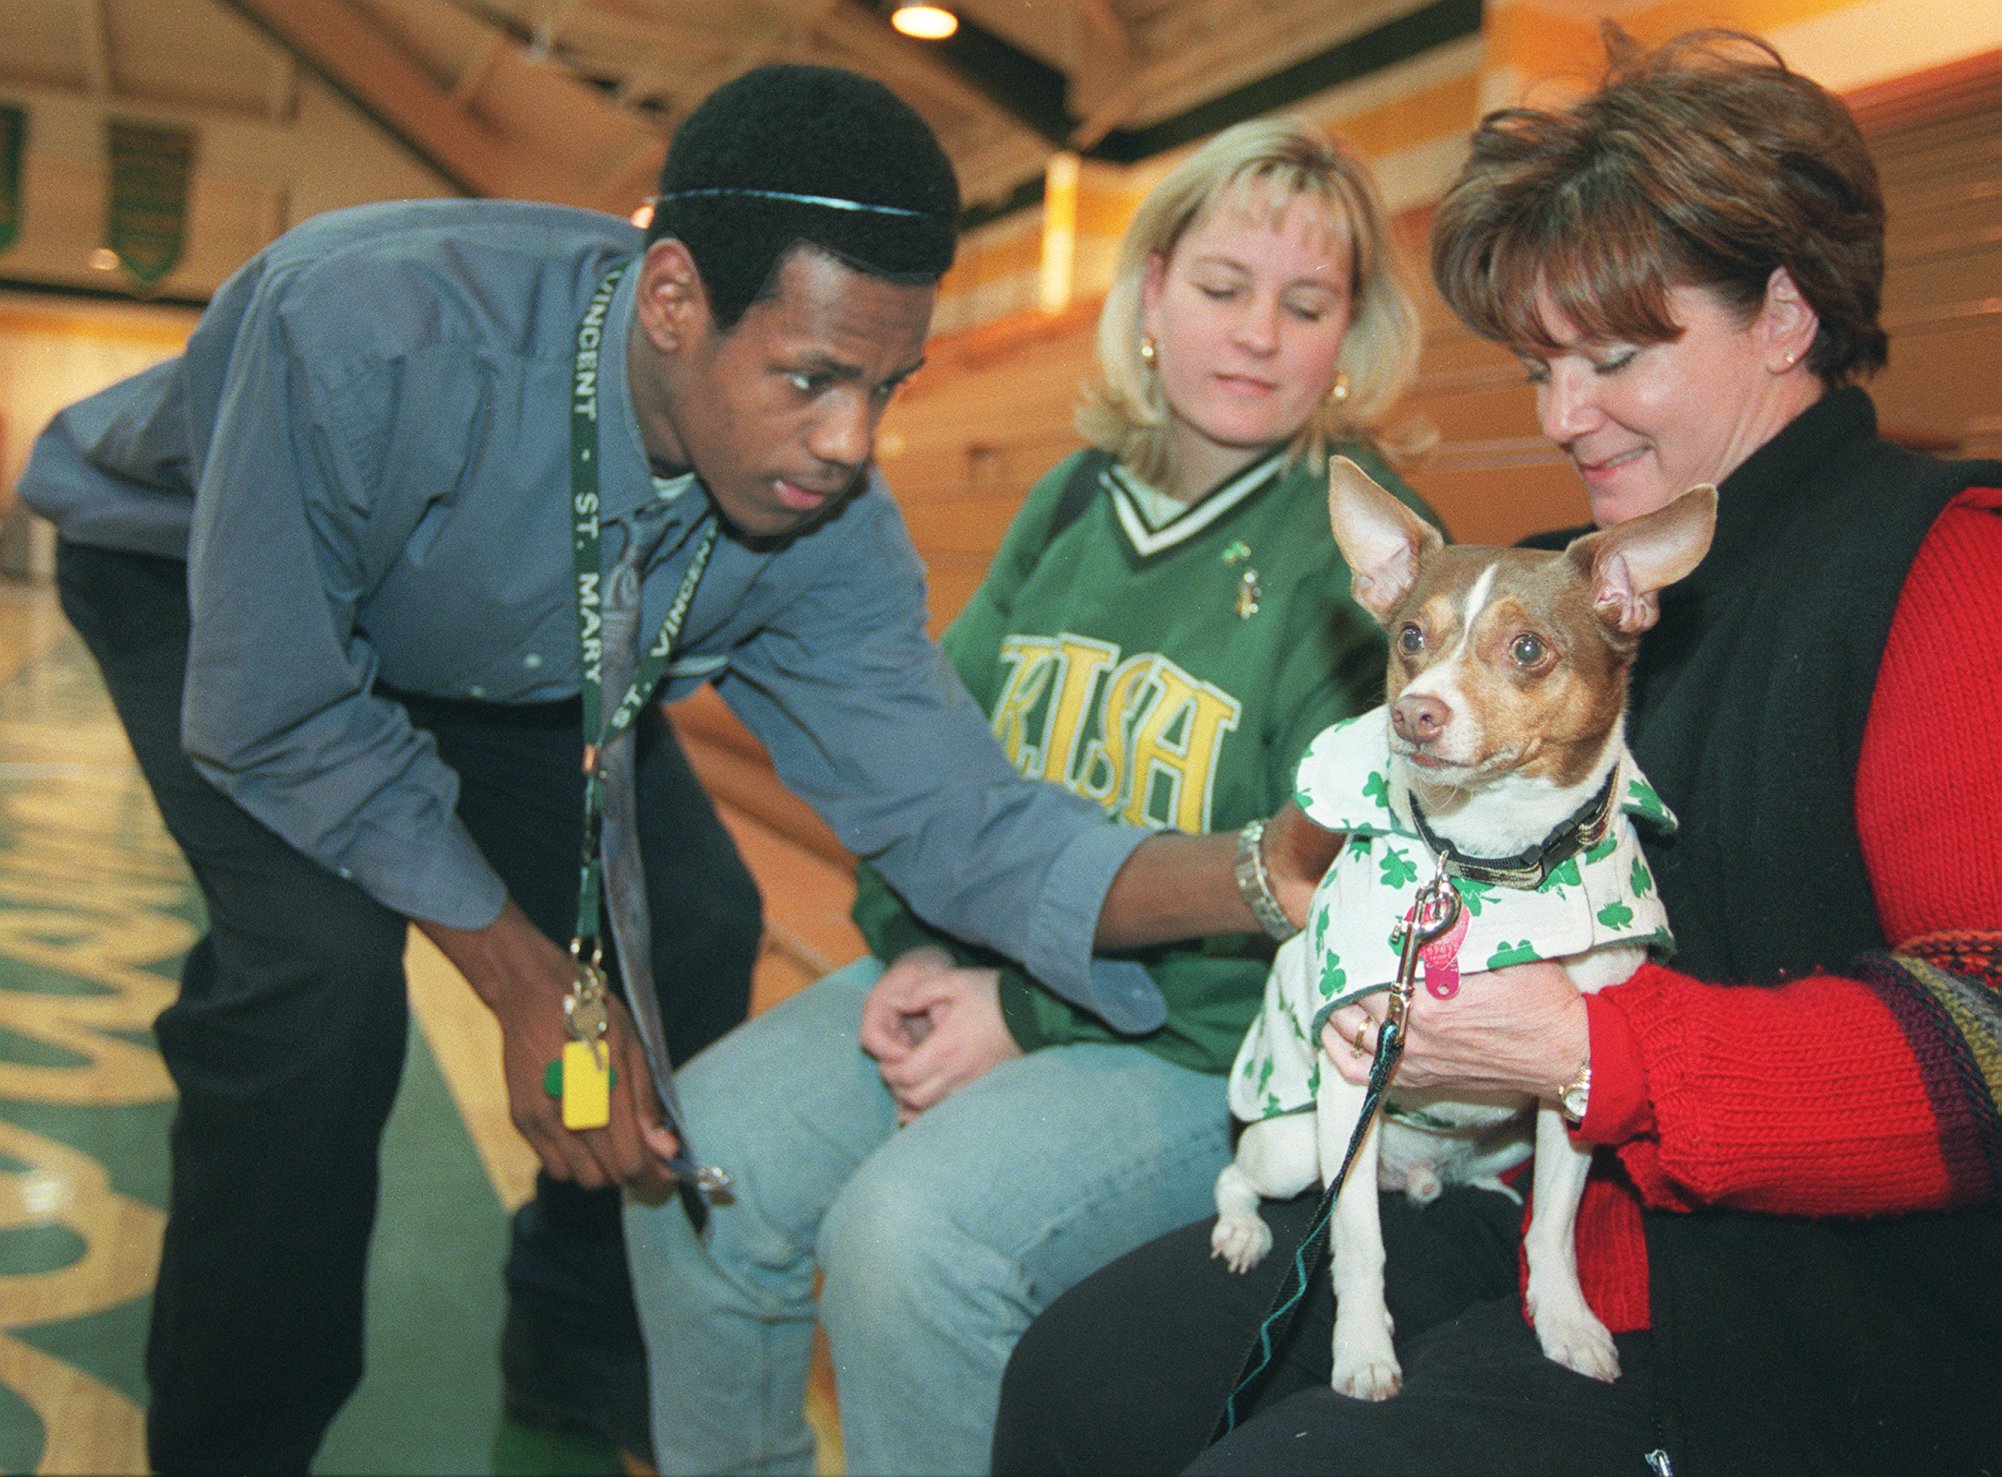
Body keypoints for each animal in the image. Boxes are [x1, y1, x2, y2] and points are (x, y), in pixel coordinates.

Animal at [1209, 454, 1713, 1400]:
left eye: (1529, 649)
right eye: (1411, 637)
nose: (1417, 712)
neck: (1489, 863)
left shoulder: (1566, 1088)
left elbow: (1555, 1229)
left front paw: (1565, 1319)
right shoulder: (1351, 1080)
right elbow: (1354, 1244)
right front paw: (1361, 1348)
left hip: (1492, 1141)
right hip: (1296, 1145)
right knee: (1239, 1175)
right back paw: (1246, 1228)